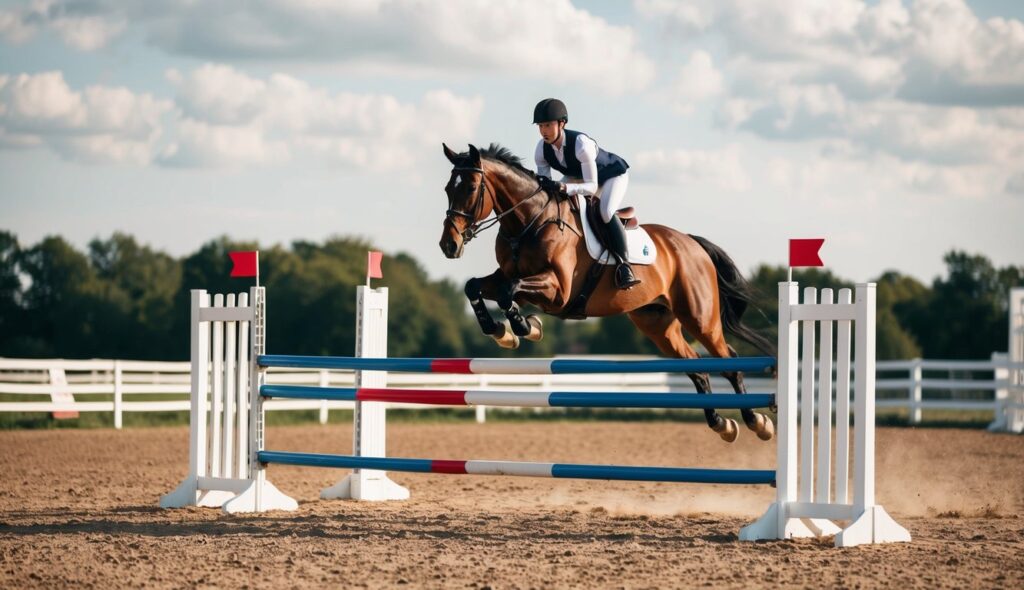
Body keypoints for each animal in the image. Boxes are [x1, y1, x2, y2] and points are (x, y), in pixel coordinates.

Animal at [440, 143, 774, 442]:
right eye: (447, 189)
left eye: (471, 188)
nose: (448, 245)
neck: (528, 223)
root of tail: (690, 243)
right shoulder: (507, 276)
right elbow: (476, 286)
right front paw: (501, 331)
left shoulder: (558, 291)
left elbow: (509, 292)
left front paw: (524, 327)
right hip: (658, 323)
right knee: (698, 369)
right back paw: (721, 424)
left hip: (699, 317)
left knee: (729, 363)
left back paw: (757, 422)